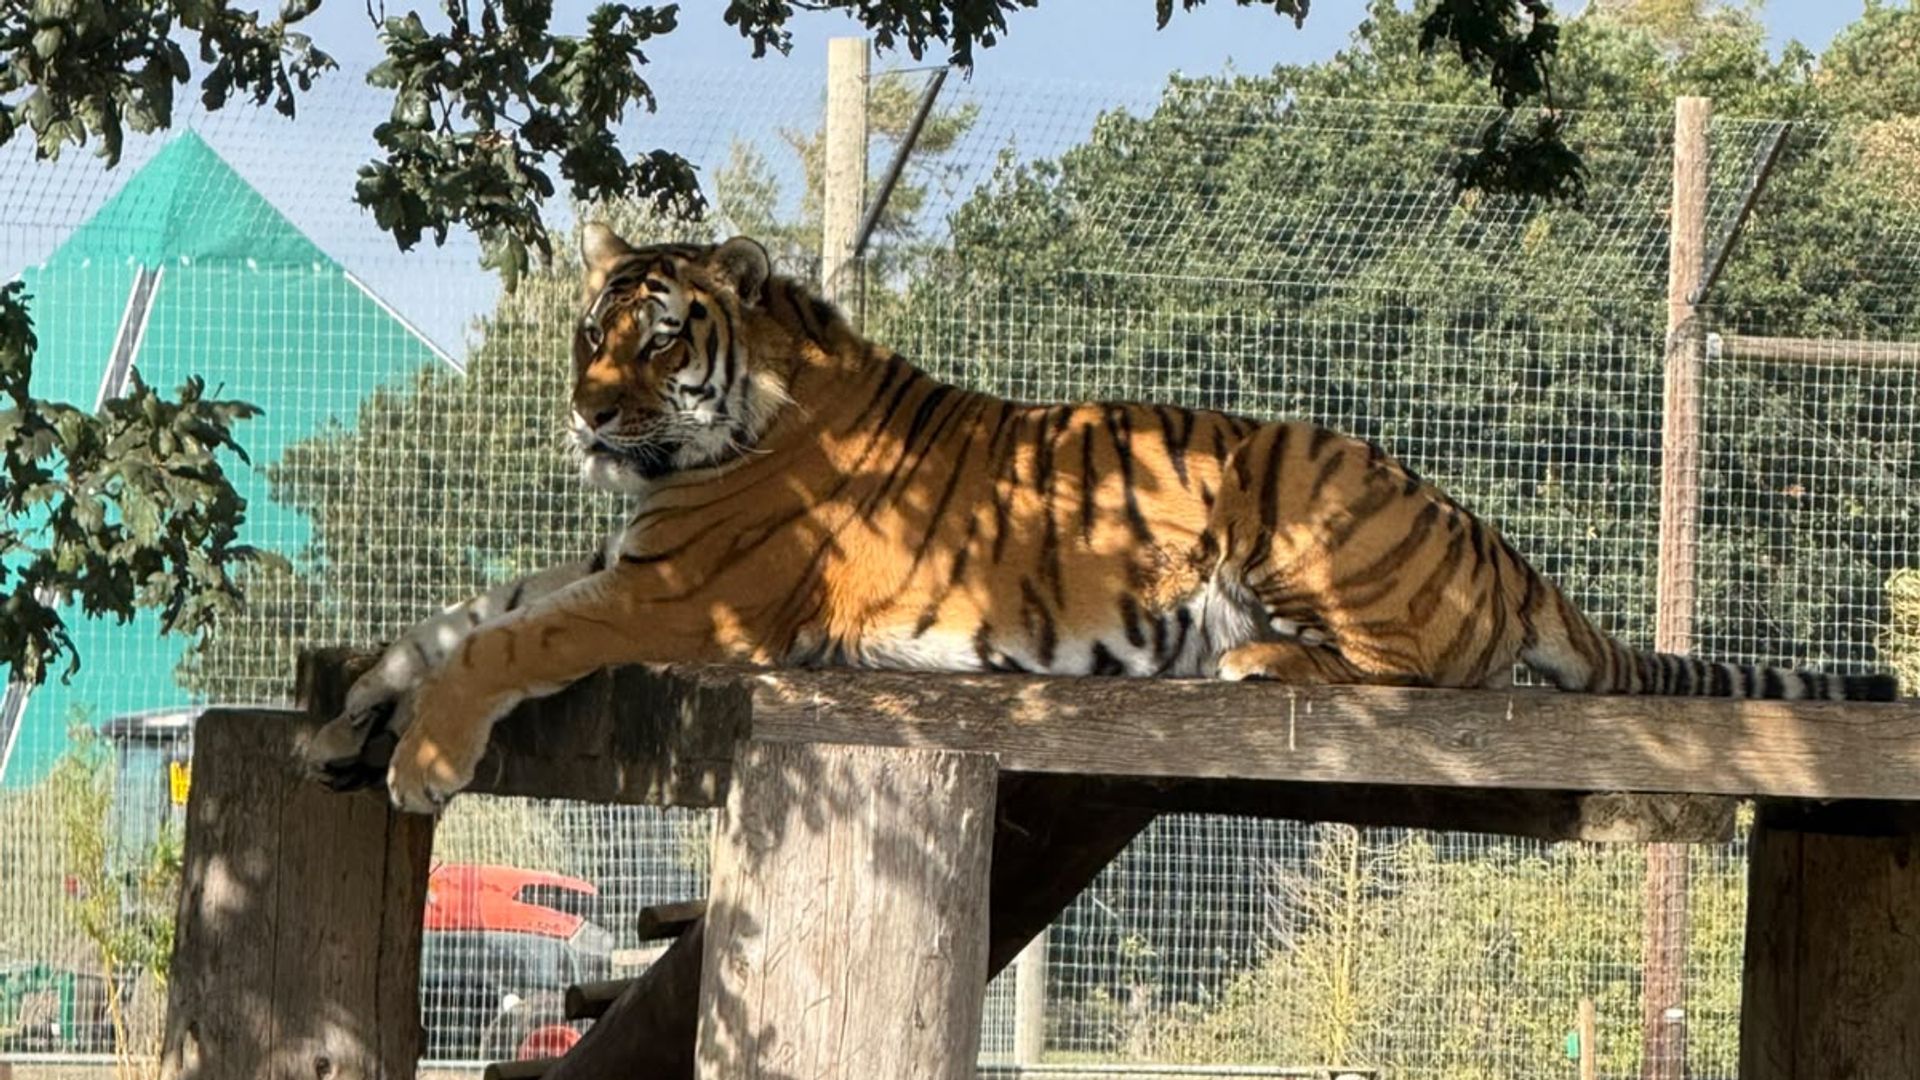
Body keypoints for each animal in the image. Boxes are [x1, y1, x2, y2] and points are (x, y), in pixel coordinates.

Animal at [305, 225, 1900, 814]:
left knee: (1434, 674)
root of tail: (1512, 553)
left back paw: (1257, 660)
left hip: (1298, 487)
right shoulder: (622, 556)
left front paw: (422, 762)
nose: (588, 418)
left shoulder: (685, 593)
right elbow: (460, 615)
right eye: (588, 337)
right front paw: (349, 708)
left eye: (651, 342)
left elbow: (508, 642)